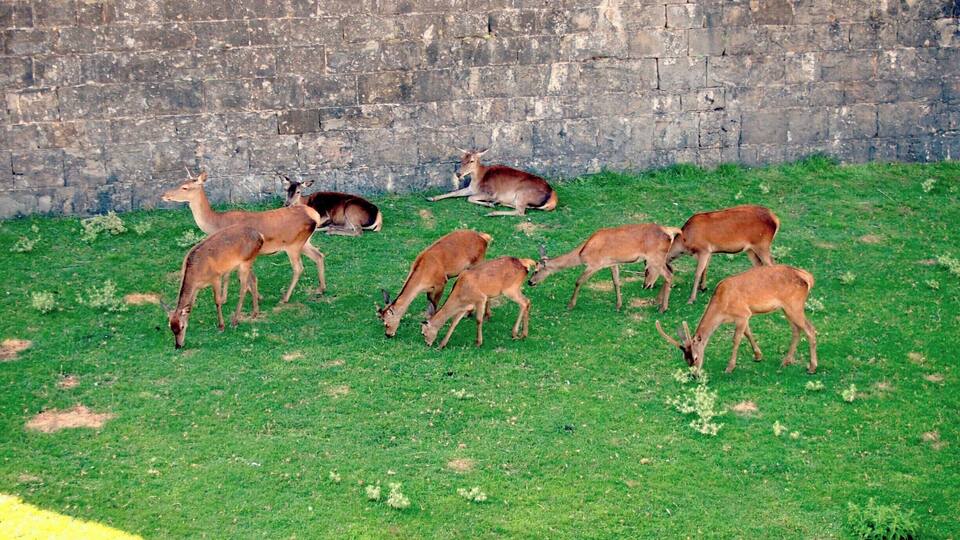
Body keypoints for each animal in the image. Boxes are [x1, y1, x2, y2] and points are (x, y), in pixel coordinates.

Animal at [162, 168, 326, 303]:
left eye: (185, 187)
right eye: (181, 182)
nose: (164, 195)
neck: (216, 224)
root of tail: (314, 215)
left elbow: (231, 275)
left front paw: (239, 297)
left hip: (293, 244)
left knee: (299, 268)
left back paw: (285, 298)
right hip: (304, 242)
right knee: (319, 255)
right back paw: (321, 289)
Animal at [427, 148, 558, 217]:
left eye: (472, 160)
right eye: (462, 159)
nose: (458, 174)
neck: (478, 179)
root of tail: (552, 197)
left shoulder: (490, 192)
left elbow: (469, 198)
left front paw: (489, 204)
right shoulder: (470, 188)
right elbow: (454, 193)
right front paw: (431, 197)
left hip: (523, 193)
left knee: (521, 212)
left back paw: (492, 211)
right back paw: (498, 203)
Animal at [527, 224, 682, 313]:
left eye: (536, 270)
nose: (530, 282)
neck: (582, 253)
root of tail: (669, 231)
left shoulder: (594, 264)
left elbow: (578, 281)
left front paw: (570, 305)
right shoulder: (612, 263)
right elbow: (616, 282)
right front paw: (618, 306)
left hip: (654, 257)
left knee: (669, 275)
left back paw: (663, 308)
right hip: (660, 258)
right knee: (671, 271)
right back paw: (658, 302)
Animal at [654, 265, 818, 375]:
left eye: (695, 357)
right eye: (685, 358)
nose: (694, 375)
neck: (722, 308)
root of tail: (808, 278)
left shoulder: (742, 314)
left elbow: (736, 339)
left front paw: (730, 367)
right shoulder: (743, 316)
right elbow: (748, 333)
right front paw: (758, 356)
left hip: (794, 306)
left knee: (810, 329)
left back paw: (811, 367)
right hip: (786, 308)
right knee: (796, 329)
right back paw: (786, 361)